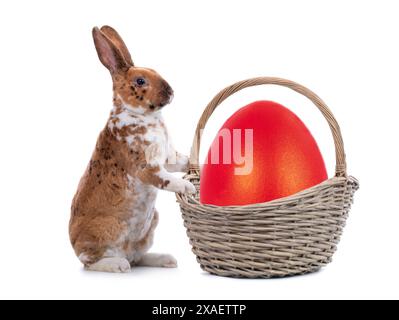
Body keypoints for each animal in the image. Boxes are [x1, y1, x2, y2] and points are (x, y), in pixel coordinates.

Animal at [69, 26, 197, 274]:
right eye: (140, 81)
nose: (171, 91)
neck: (141, 115)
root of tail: (73, 244)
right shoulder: (147, 167)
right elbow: (166, 179)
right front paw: (187, 187)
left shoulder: (169, 158)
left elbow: (182, 162)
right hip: (107, 230)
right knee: (90, 261)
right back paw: (118, 265)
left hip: (150, 225)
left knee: (137, 257)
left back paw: (166, 259)